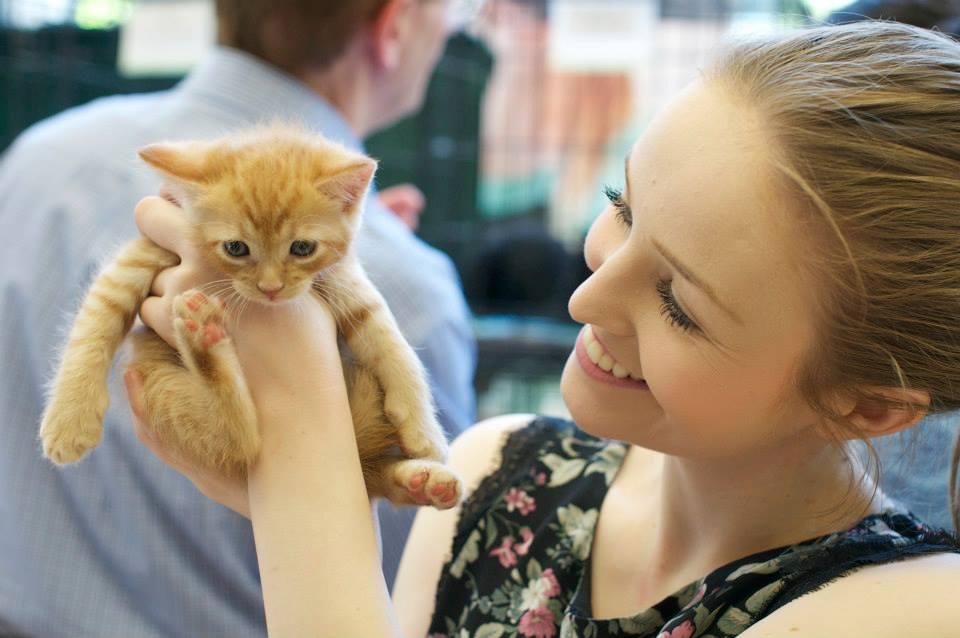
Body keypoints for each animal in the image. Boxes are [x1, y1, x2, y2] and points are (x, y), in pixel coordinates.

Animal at [39, 124, 466, 510]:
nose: (270, 288)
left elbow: (388, 336)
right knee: (239, 439)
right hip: (156, 381)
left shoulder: (341, 277)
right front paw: (69, 418)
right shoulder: (140, 254)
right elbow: (95, 322)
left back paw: (424, 481)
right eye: (236, 248)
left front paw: (424, 429)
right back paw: (203, 340)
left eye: (302, 248)